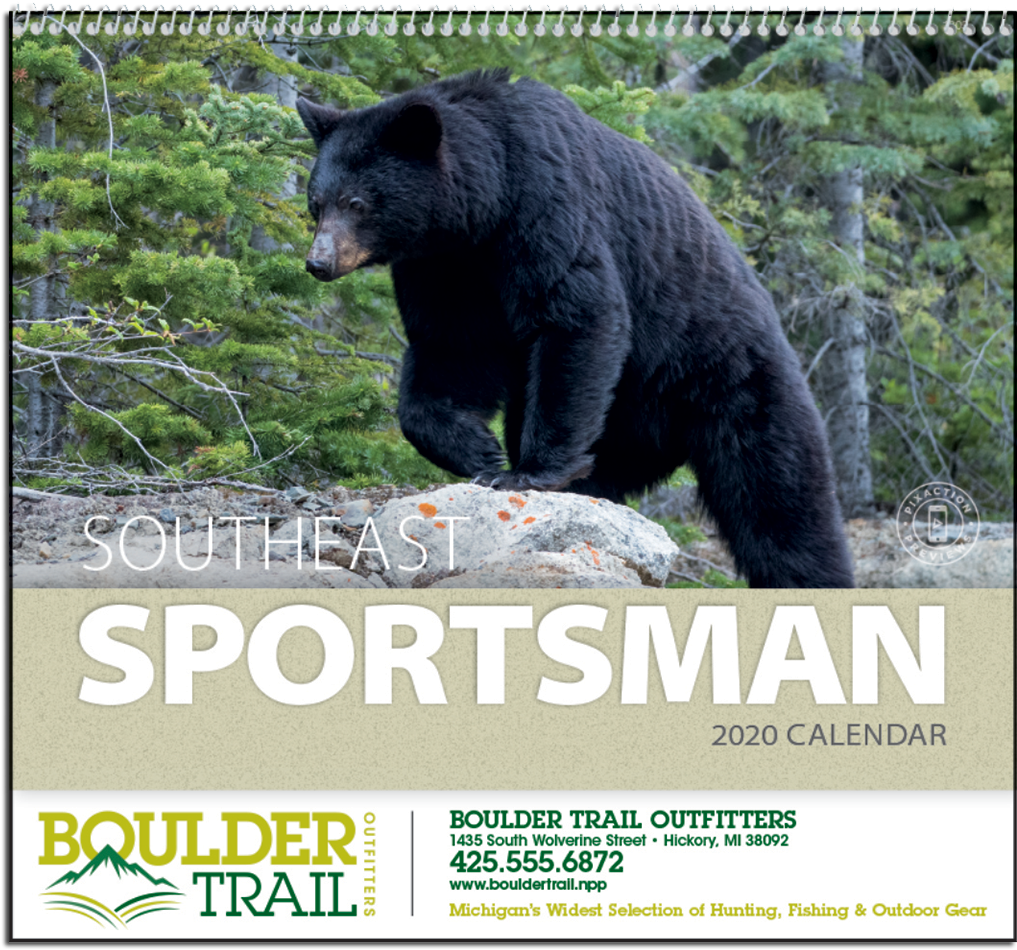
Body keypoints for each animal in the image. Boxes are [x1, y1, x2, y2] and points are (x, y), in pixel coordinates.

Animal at [296, 69, 855, 588]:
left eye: (357, 203)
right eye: (316, 203)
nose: (317, 263)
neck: (485, 203)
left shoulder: (545, 205)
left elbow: (574, 313)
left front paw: (525, 471)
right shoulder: (444, 266)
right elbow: (452, 349)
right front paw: (478, 448)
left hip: (734, 384)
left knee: (778, 502)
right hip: (626, 423)